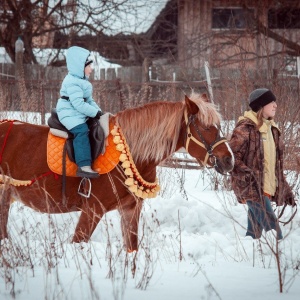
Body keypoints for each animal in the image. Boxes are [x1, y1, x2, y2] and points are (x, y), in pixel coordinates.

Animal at [0, 93, 234, 251]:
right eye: (206, 128)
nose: (228, 159)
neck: (129, 154)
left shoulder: (130, 210)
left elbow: (131, 248)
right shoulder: (92, 210)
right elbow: (78, 241)